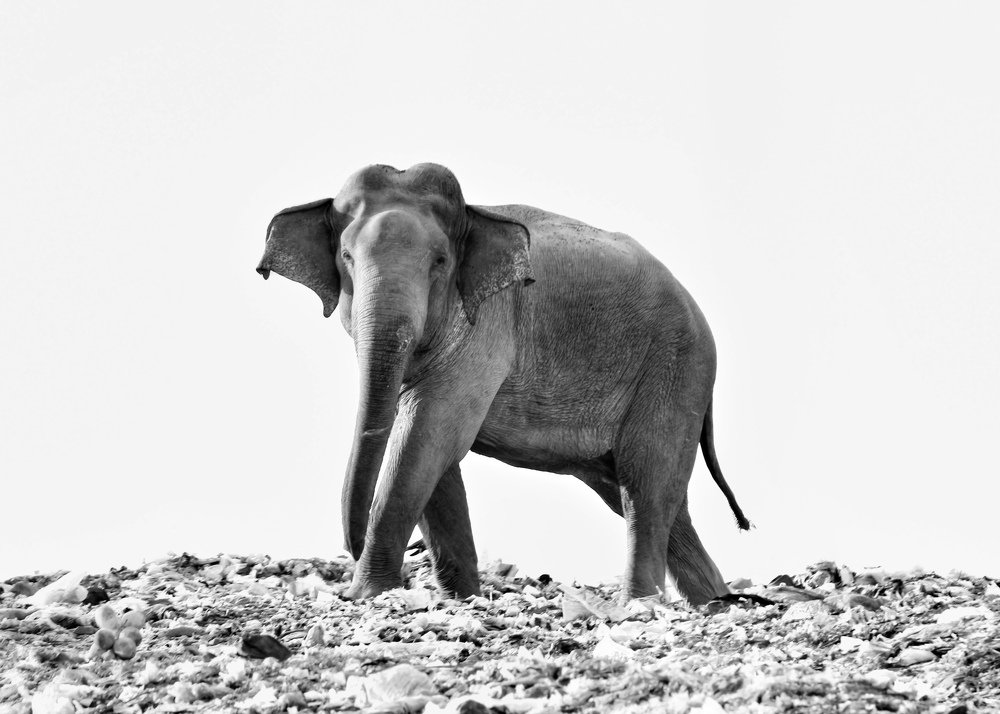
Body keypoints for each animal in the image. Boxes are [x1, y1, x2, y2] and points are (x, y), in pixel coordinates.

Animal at [256, 163, 750, 605]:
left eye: (440, 262)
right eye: (347, 258)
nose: (351, 551)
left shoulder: (488, 326)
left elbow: (428, 435)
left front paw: (370, 594)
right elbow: (430, 447)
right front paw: (462, 598)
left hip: (676, 366)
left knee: (646, 483)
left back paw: (639, 605)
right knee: (653, 499)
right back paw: (715, 601)